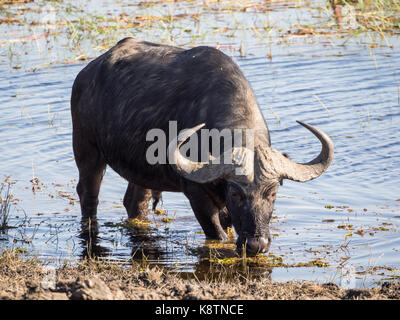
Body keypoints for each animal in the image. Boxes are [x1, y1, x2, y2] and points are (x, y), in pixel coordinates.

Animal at [70, 36, 332, 254]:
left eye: (273, 193)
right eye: (235, 194)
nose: (257, 244)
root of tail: (86, 74)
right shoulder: (196, 194)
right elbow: (217, 234)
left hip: (140, 168)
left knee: (135, 201)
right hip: (86, 148)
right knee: (88, 194)